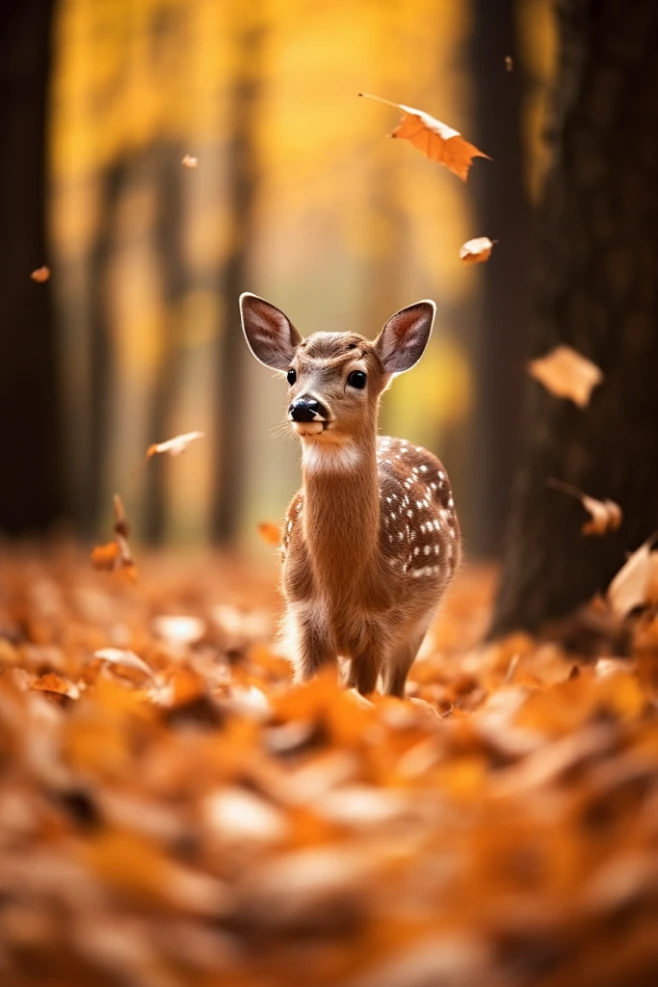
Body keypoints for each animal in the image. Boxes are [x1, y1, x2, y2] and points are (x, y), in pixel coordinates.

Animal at [240, 293, 461, 697]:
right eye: (292, 373)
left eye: (358, 376)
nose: (305, 406)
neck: (340, 585)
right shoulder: (303, 616)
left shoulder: (383, 620)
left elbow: (366, 692)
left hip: (423, 616)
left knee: (396, 686)